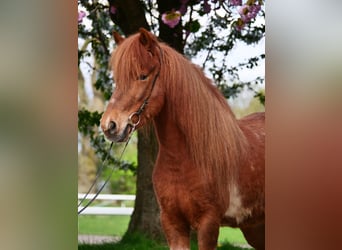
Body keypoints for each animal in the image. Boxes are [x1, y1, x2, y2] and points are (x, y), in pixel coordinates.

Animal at [99, 28, 264, 249]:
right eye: (117, 80)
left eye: (143, 76)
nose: (109, 126)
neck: (183, 160)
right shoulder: (172, 223)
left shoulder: (208, 223)